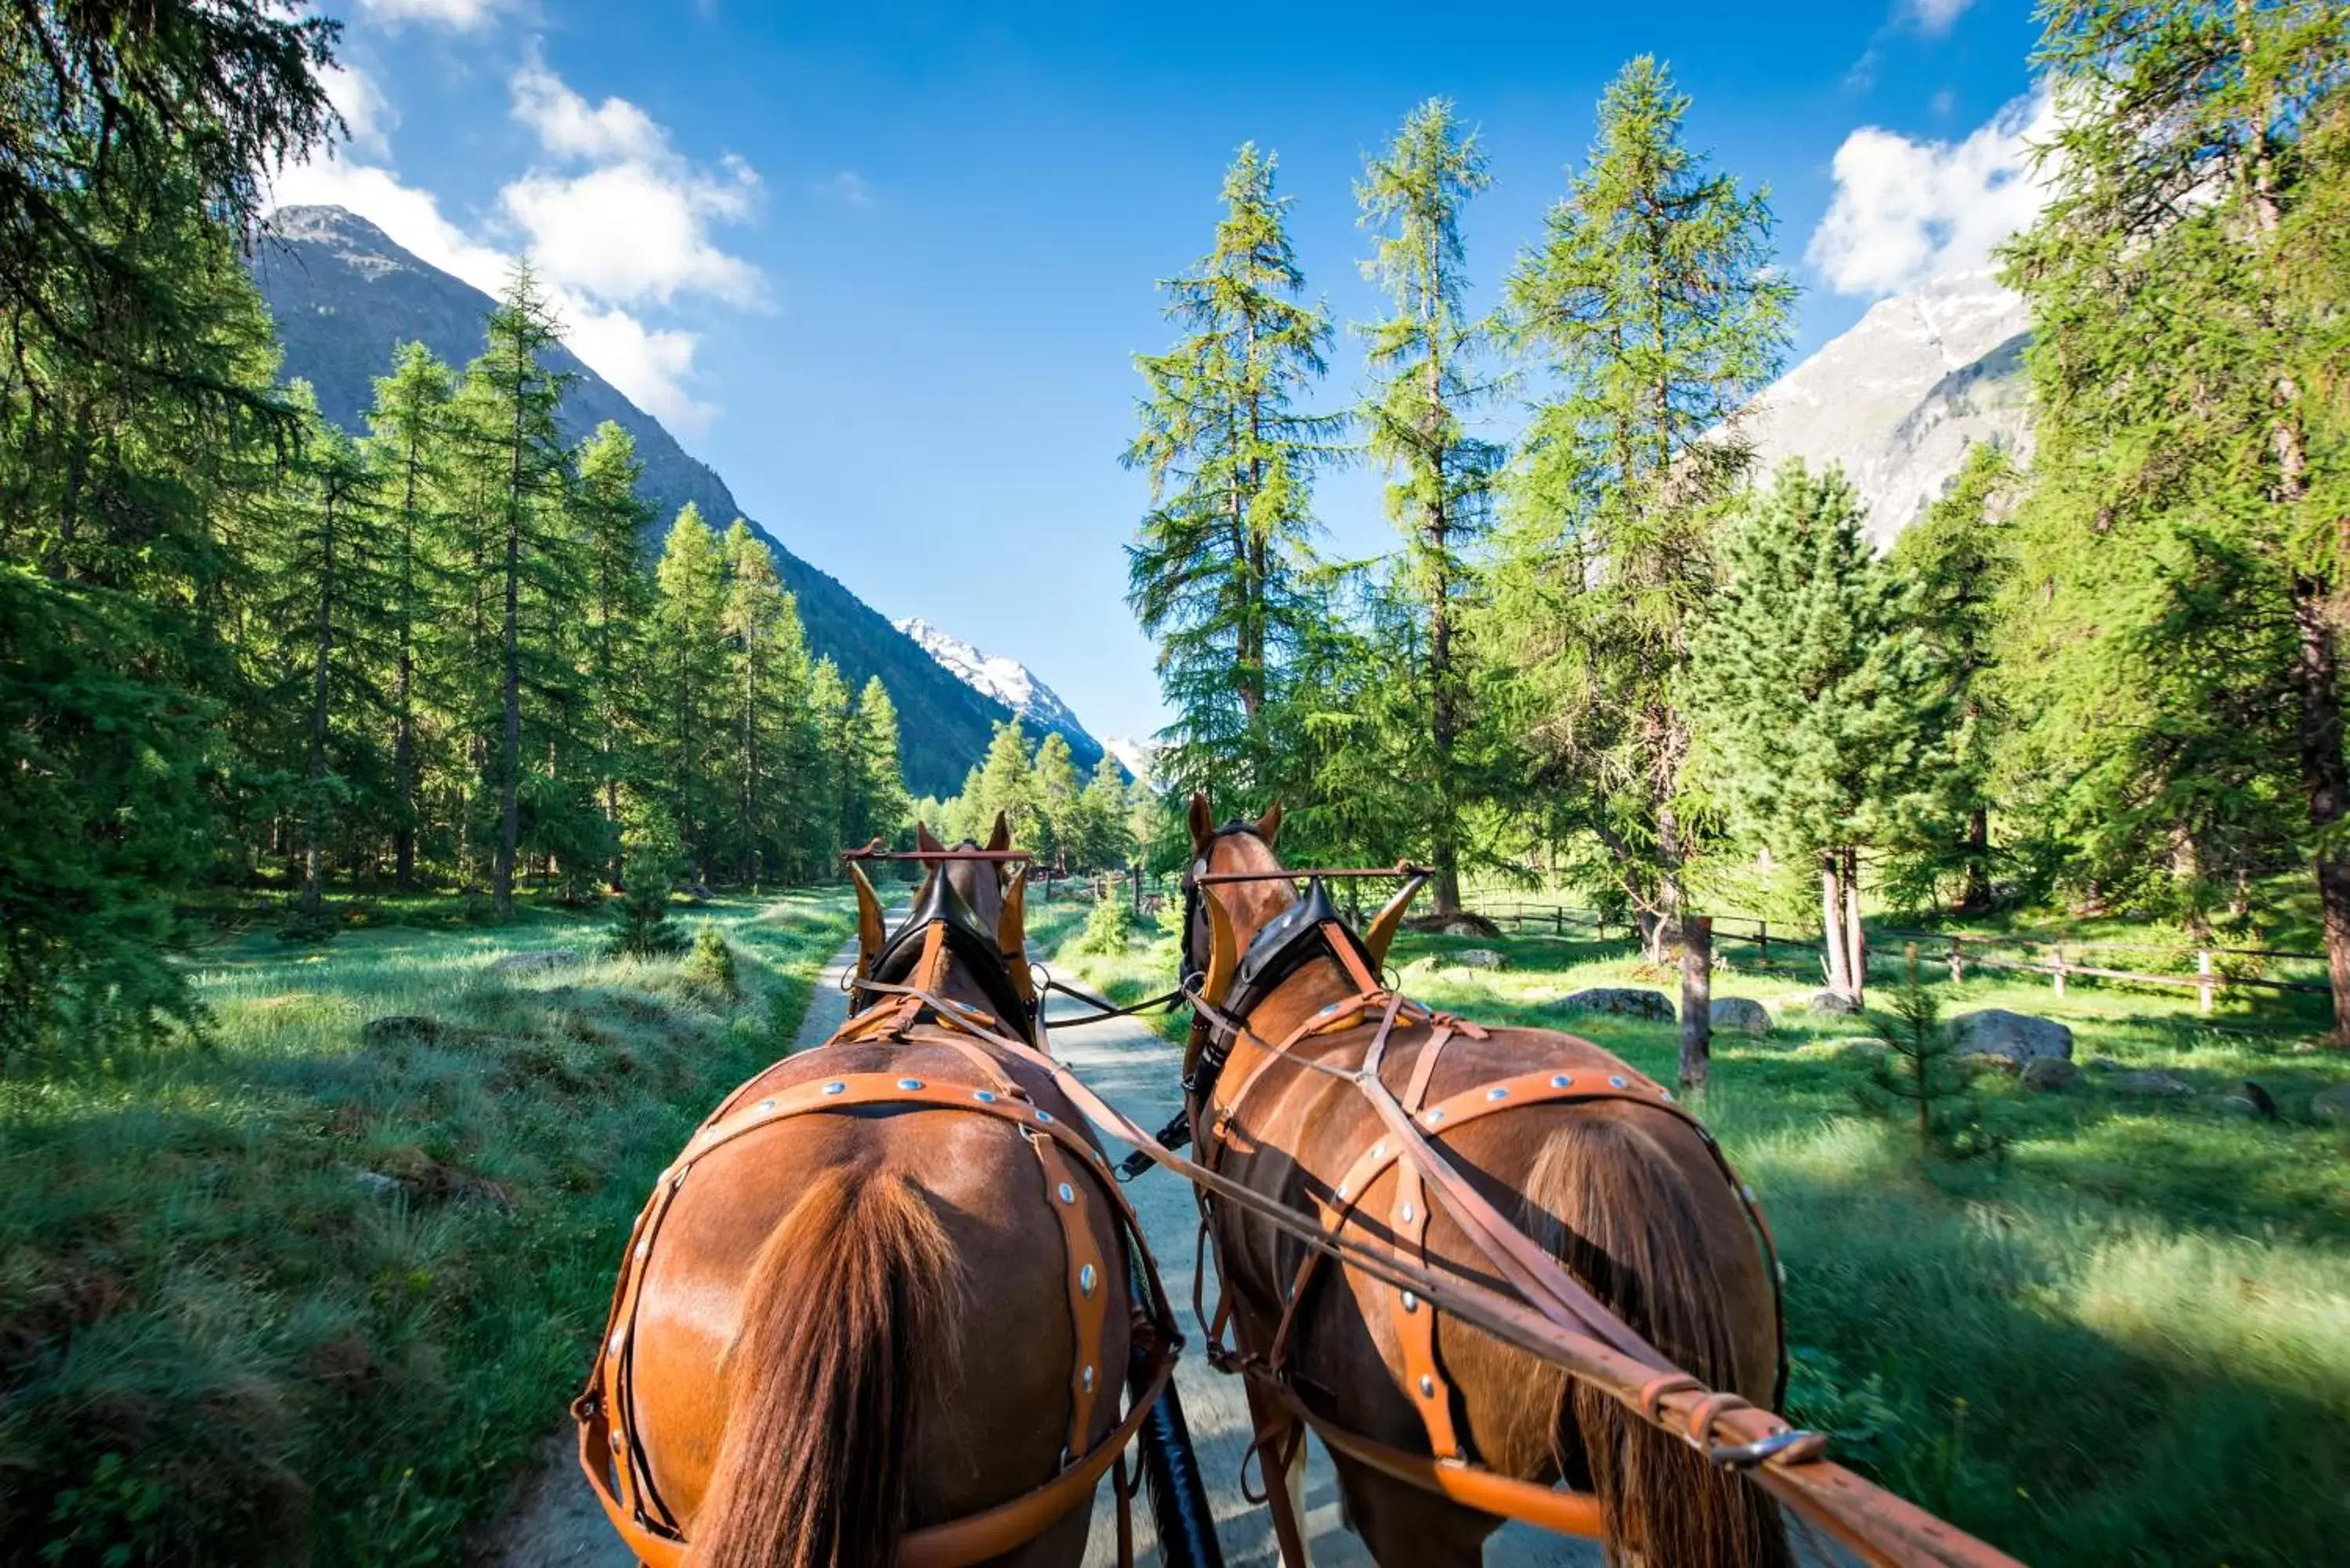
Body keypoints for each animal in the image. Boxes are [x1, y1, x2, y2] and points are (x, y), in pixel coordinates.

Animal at [1184, 804, 1786, 1560]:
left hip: (1412, 1503)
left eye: (1185, 898)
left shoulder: (1255, 1327)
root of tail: (1599, 1142)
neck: (1297, 1006)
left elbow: (1285, 1491)